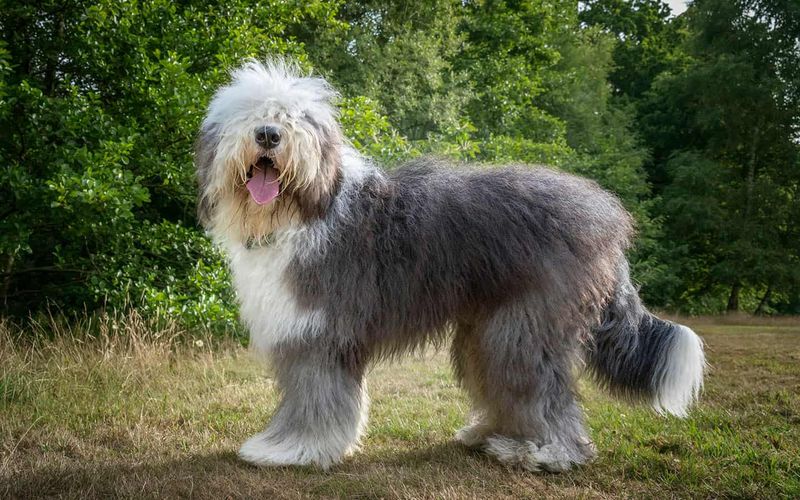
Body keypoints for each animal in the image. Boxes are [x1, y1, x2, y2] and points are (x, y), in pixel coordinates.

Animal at [197, 60, 704, 470]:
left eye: (296, 118)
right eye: (248, 115)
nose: (268, 134)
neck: (304, 211)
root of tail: (607, 224)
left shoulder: (317, 333)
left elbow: (313, 396)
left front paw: (291, 450)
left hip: (526, 325)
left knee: (541, 391)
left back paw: (546, 452)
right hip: (489, 325)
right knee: (502, 382)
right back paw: (492, 434)